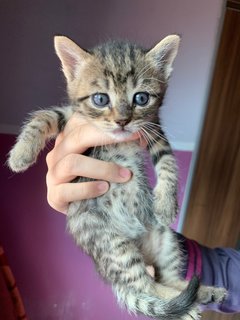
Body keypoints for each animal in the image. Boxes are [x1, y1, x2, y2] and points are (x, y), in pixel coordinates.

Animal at [7, 35, 226, 318]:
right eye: (101, 99)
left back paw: (202, 292)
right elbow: (45, 116)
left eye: (141, 98)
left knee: (163, 280)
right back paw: (190, 303)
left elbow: (167, 162)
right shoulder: (73, 117)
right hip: (115, 247)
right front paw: (20, 154)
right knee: (146, 286)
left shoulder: (153, 129)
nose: (122, 121)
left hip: (164, 237)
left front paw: (166, 203)